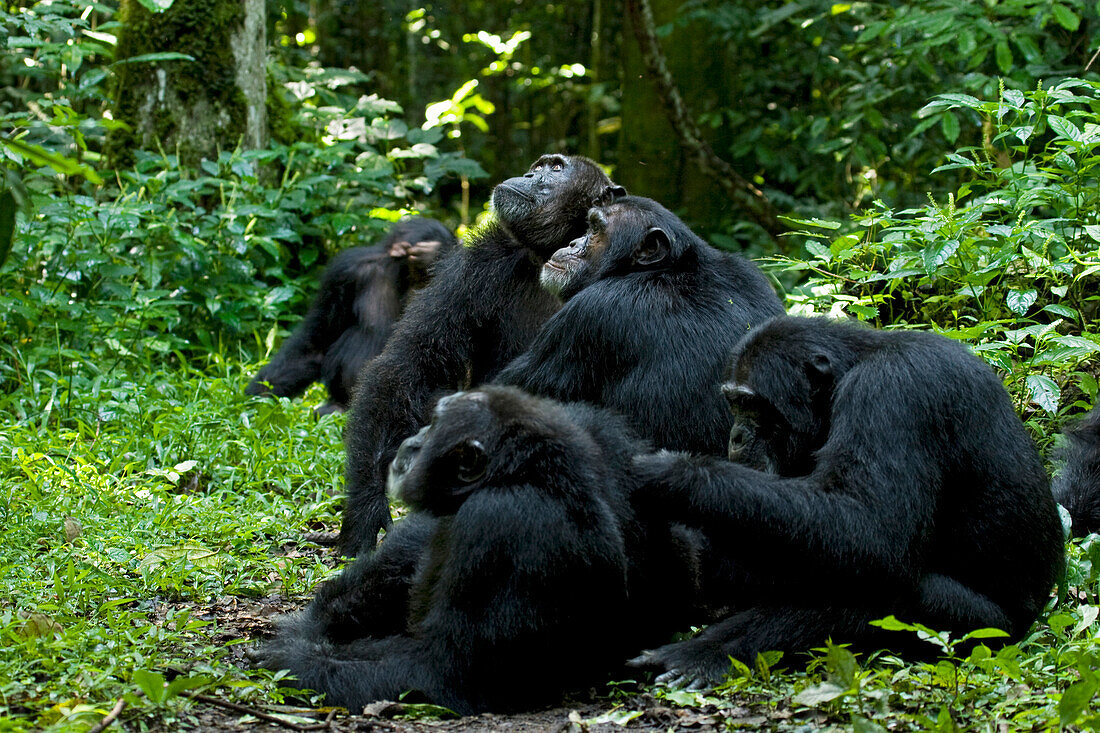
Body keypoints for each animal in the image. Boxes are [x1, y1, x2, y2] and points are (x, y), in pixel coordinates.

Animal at [338, 154, 624, 554]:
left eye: (556, 169)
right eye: (540, 165)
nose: (531, 173)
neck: (552, 253)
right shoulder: (475, 266)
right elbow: (411, 364)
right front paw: (366, 509)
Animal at [495, 197, 787, 453]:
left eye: (596, 229)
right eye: (588, 226)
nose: (573, 242)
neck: (668, 269)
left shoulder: (588, 317)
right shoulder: (752, 276)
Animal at [633, 314, 1069, 686]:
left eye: (751, 403)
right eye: (733, 402)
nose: (737, 435)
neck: (851, 369)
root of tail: (1032, 620)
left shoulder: (892, 391)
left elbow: (869, 526)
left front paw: (671, 473)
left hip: (979, 630)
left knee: (874, 587)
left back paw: (703, 654)